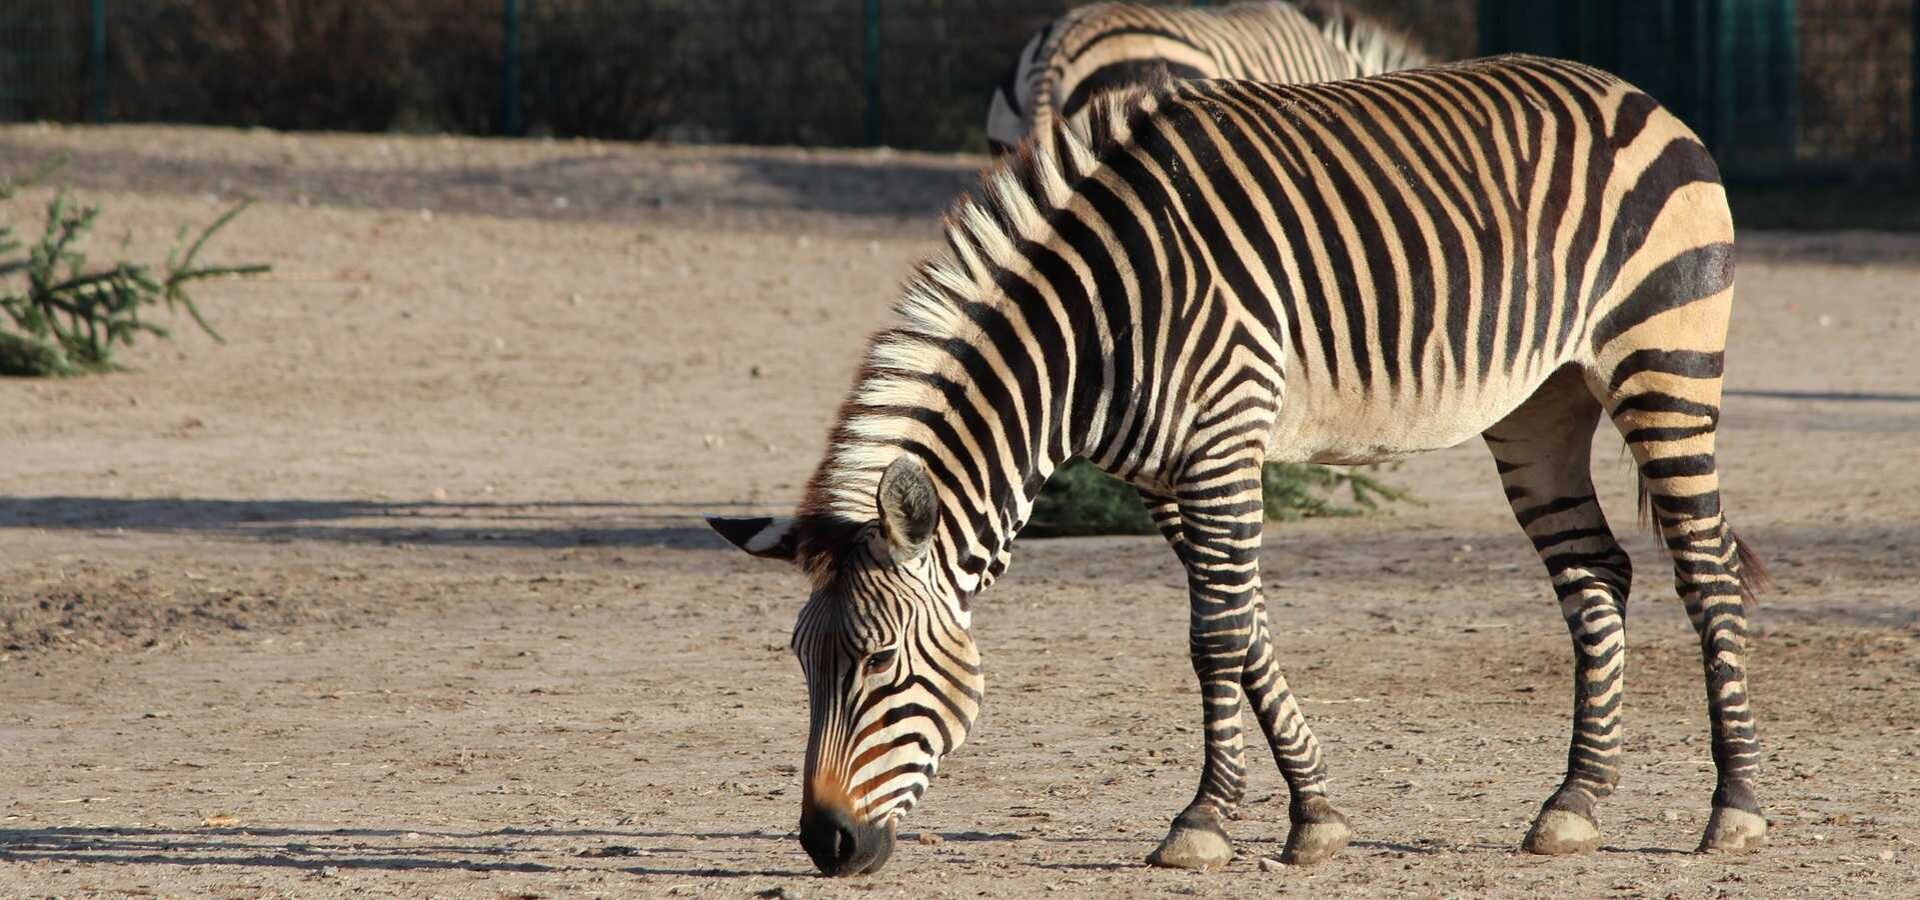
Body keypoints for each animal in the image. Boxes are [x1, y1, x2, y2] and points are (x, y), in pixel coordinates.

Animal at [718, 52, 1766, 875]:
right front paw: (1317, 816)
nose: (826, 845)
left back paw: (1736, 809)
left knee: (1706, 571)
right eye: (801, 663)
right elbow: (1247, 629)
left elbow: (1216, 637)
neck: (1095, 332)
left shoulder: (1223, 442)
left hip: (1663, 362)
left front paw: (1204, 824)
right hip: (1538, 404)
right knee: (1595, 572)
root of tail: (1635, 93)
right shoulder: (1167, 477)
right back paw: (1576, 803)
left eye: (879, 663)